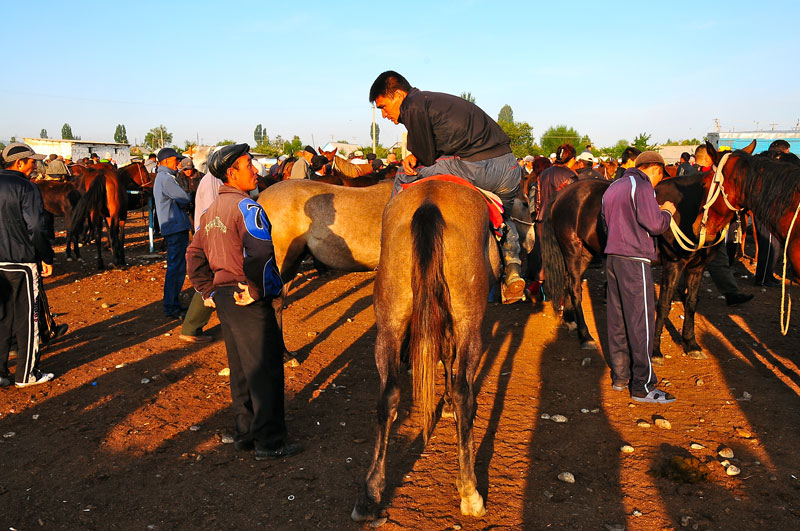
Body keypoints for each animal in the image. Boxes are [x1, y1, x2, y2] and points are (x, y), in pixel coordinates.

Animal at [352, 181, 500, 520]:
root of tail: (429, 203)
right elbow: (451, 362)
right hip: (469, 320)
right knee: (464, 394)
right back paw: (470, 491)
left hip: (389, 323)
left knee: (388, 397)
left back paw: (370, 492)